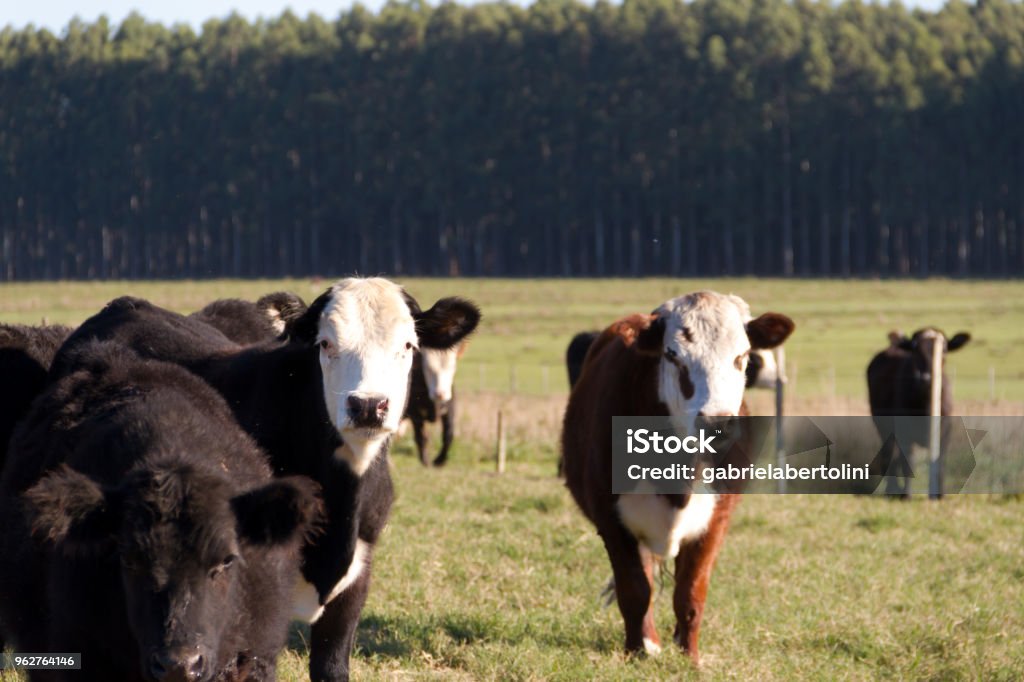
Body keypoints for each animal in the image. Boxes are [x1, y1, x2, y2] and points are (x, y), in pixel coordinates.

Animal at [561, 290, 790, 659]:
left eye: (742, 356)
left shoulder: (715, 520)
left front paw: (690, 657)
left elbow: (690, 593)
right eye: (672, 354)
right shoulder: (613, 522)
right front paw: (637, 650)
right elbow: (635, 591)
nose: (716, 424)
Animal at [868, 325, 970, 493]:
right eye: (915, 349)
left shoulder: (945, 431)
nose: (926, 378)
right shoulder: (903, 432)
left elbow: (940, 464)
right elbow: (908, 463)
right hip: (881, 425)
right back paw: (892, 488)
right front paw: (906, 494)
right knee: (889, 454)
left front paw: (940, 493)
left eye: (944, 349)